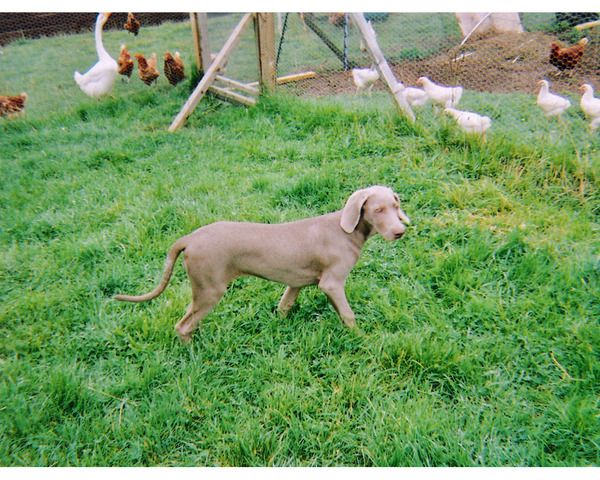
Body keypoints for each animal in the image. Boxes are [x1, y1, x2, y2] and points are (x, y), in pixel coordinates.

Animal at [115, 186, 410, 342]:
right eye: (377, 210)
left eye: (396, 207)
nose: (399, 232)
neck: (345, 229)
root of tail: (190, 237)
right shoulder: (332, 283)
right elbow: (348, 314)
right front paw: (361, 338)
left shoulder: (295, 282)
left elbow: (284, 305)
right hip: (210, 288)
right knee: (182, 325)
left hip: (201, 288)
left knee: (190, 317)